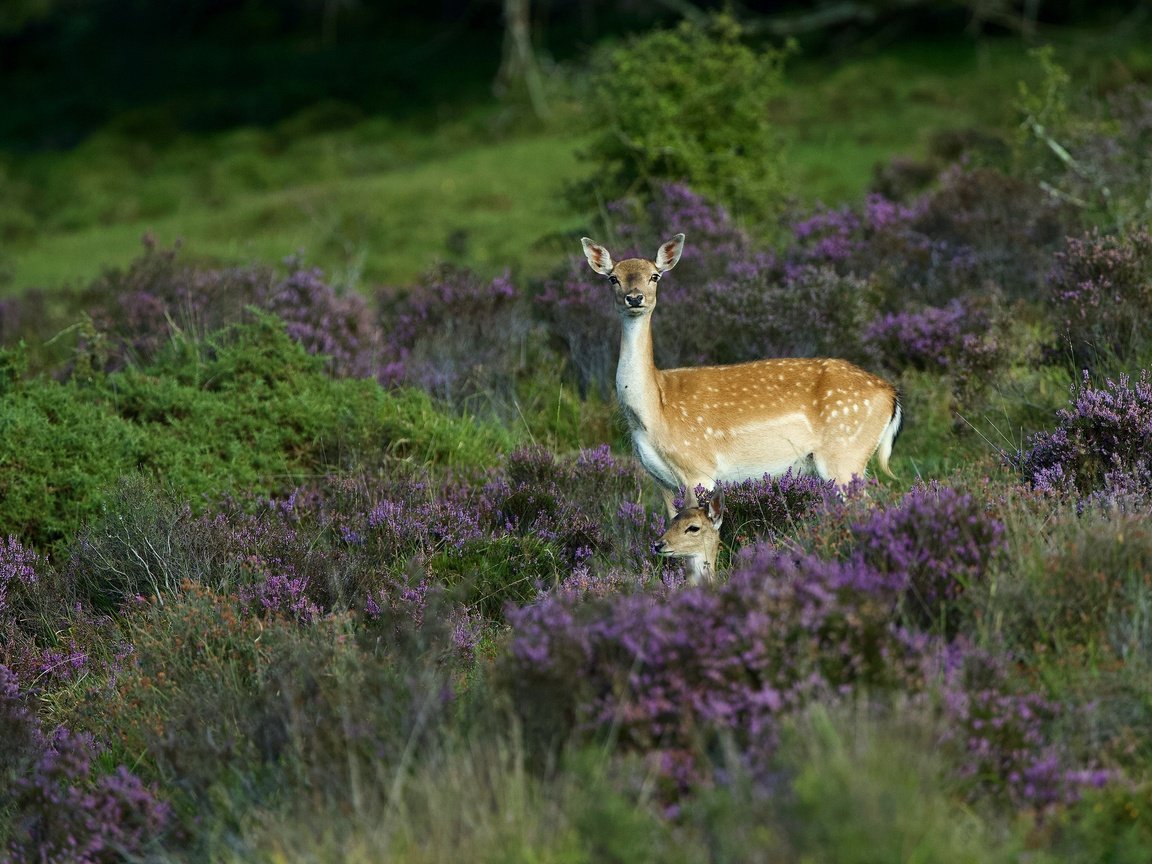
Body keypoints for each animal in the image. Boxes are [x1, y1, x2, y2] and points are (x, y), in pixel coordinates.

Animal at [580, 230, 903, 518]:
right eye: (613, 278)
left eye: (654, 276)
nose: (634, 298)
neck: (653, 410)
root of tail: (891, 394)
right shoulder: (661, 482)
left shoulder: (699, 469)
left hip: (845, 453)